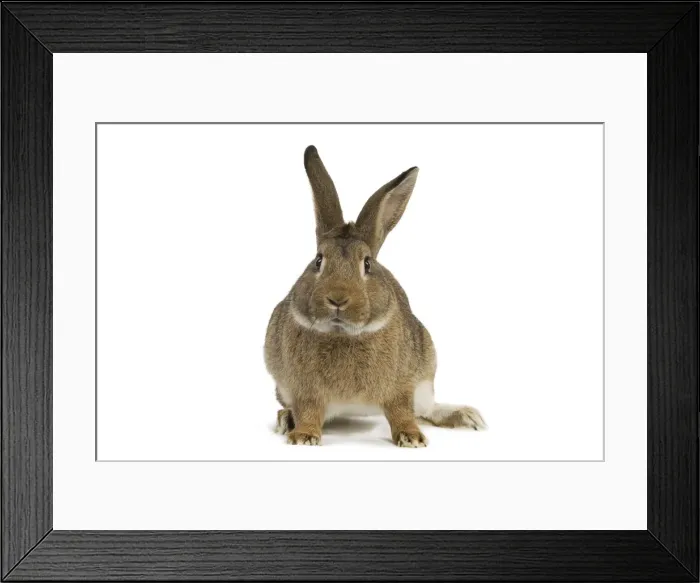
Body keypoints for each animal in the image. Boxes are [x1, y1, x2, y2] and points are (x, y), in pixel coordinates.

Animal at [264, 146, 485, 447]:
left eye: (367, 264)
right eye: (318, 261)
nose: (337, 298)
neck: (343, 333)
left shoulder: (401, 385)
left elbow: (402, 411)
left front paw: (412, 437)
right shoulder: (303, 389)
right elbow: (308, 410)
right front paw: (303, 436)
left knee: (426, 409)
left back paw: (466, 416)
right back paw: (286, 419)